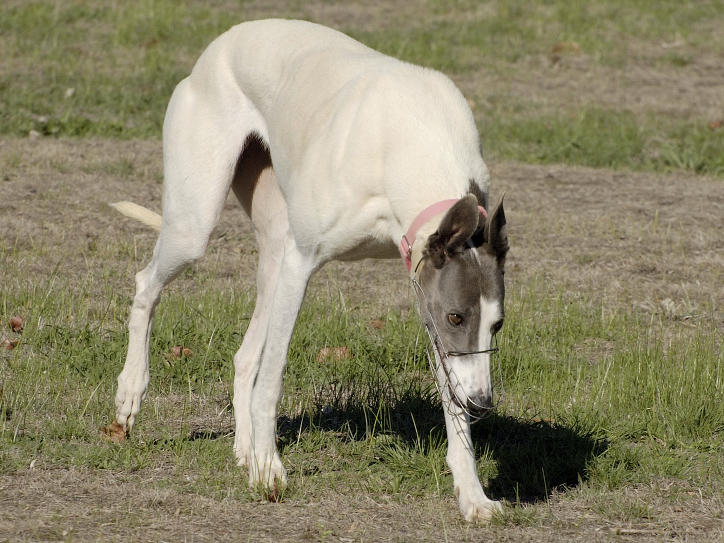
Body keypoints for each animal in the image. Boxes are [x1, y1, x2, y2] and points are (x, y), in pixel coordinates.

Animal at [113, 20, 510, 524]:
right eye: (458, 317)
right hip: (195, 225)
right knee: (148, 283)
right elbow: (272, 381)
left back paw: (245, 450)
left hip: (273, 250)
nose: (482, 404)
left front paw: (474, 496)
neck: (416, 140)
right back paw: (132, 394)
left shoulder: (424, 288)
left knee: (244, 355)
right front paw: (269, 472)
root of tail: (223, 42)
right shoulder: (304, 263)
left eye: (497, 325)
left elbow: (450, 394)